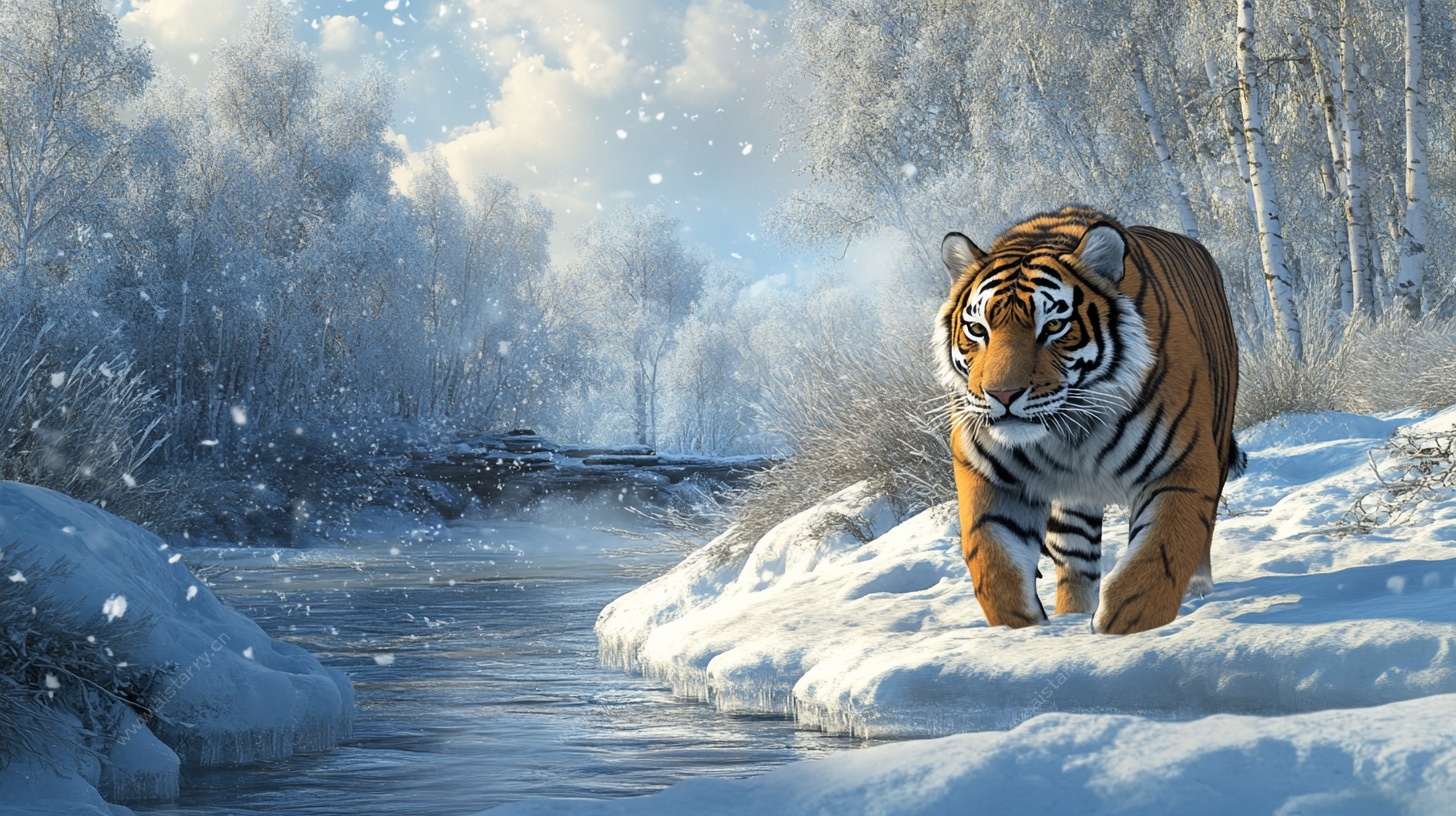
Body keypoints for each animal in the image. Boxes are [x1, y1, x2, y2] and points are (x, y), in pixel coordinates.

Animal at [932, 206, 1243, 635]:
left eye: (1052, 326)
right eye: (978, 330)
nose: (1002, 395)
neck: (1070, 432)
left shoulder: (1182, 468)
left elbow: (1155, 563)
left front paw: (1119, 633)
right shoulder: (986, 475)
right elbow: (994, 569)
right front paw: (1028, 631)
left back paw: (1198, 587)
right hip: (1072, 505)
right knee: (1076, 558)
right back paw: (1072, 614)